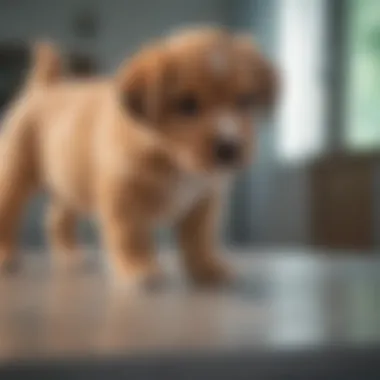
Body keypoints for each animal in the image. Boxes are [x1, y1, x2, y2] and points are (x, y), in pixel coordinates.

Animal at [0, 27, 276, 284]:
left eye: (245, 100)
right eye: (187, 104)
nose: (229, 147)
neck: (171, 159)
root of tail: (45, 87)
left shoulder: (204, 202)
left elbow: (200, 240)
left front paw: (207, 268)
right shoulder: (124, 199)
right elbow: (133, 236)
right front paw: (139, 267)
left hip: (70, 183)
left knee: (56, 219)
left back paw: (70, 254)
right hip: (17, 175)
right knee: (9, 210)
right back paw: (7, 255)